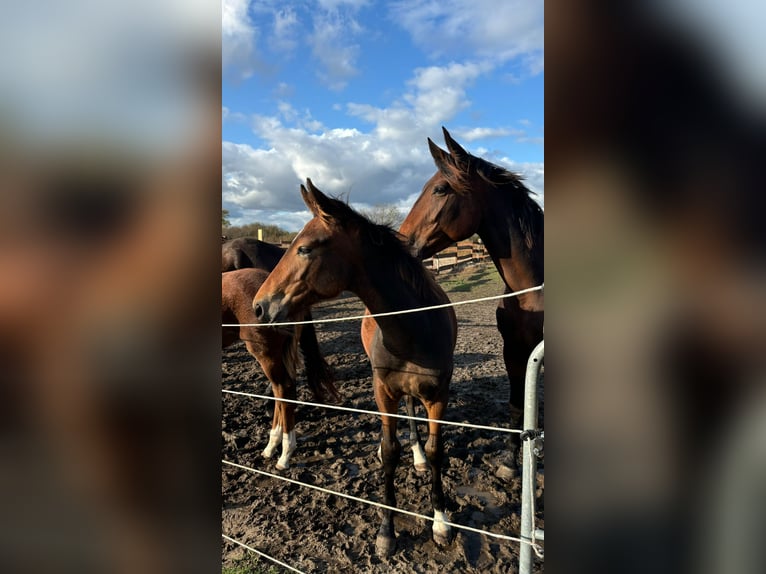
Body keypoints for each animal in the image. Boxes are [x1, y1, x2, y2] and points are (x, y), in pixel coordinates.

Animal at [252, 179, 460, 560]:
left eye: (304, 249)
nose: (259, 307)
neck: (413, 328)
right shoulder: (383, 391)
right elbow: (390, 453)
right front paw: (386, 533)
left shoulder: (439, 395)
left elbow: (438, 452)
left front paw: (441, 522)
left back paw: (419, 457)